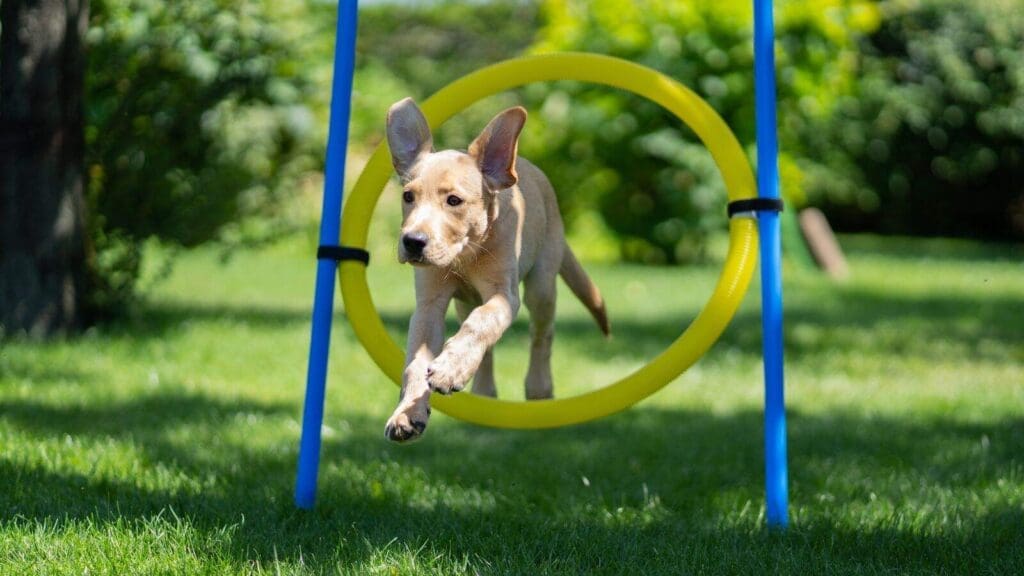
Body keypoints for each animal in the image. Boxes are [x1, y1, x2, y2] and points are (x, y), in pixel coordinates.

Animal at [382, 98, 606, 438]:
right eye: (408, 196)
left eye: (454, 200)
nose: (413, 242)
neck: (466, 253)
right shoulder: (429, 305)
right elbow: (416, 362)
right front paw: (407, 414)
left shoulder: (504, 295)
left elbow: (481, 324)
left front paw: (448, 369)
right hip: (464, 301)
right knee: (485, 347)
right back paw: (482, 389)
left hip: (541, 286)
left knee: (542, 335)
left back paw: (539, 388)